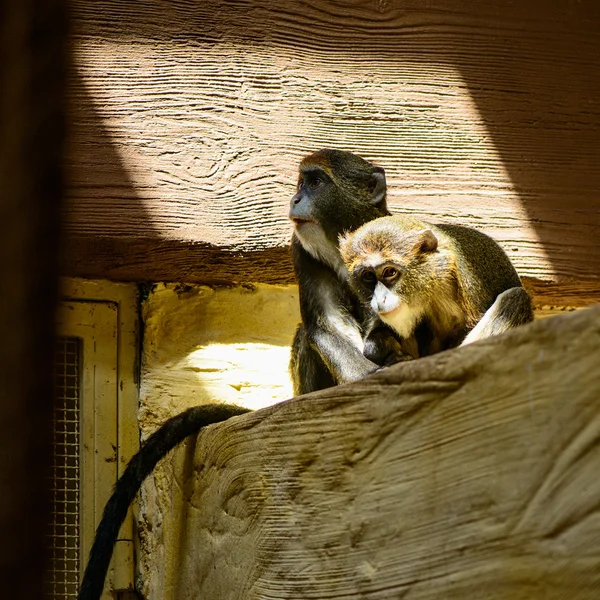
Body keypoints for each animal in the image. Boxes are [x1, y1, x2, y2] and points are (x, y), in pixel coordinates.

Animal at [288, 148, 392, 396]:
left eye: (315, 183)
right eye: (300, 185)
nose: (295, 199)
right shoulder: (301, 251)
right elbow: (328, 322)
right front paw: (366, 376)